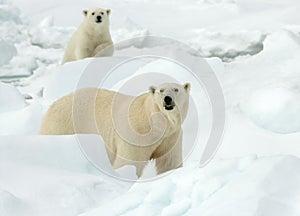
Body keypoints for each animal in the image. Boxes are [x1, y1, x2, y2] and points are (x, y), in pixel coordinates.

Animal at [39, 82, 191, 177]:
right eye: (161, 90)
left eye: (176, 89)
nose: (167, 99)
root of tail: (51, 108)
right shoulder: (137, 134)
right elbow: (129, 162)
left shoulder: (171, 136)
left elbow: (169, 162)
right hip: (63, 125)